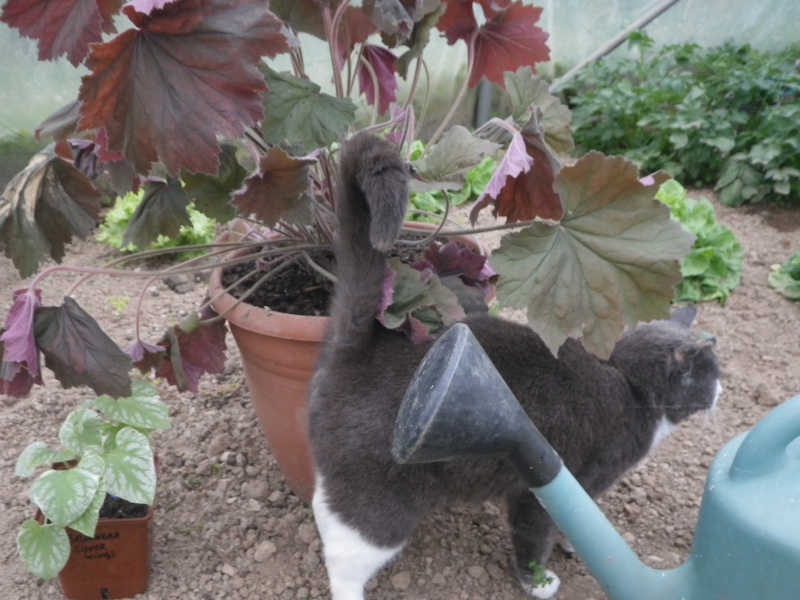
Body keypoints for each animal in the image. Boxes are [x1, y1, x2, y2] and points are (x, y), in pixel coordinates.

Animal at [304, 135, 720, 600]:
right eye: (712, 374)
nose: (721, 390)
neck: (627, 381)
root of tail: (356, 347)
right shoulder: (549, 484)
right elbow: (536, 534)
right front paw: (538, 581)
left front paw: (570, 547)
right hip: (383, 498)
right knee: (346, 553)